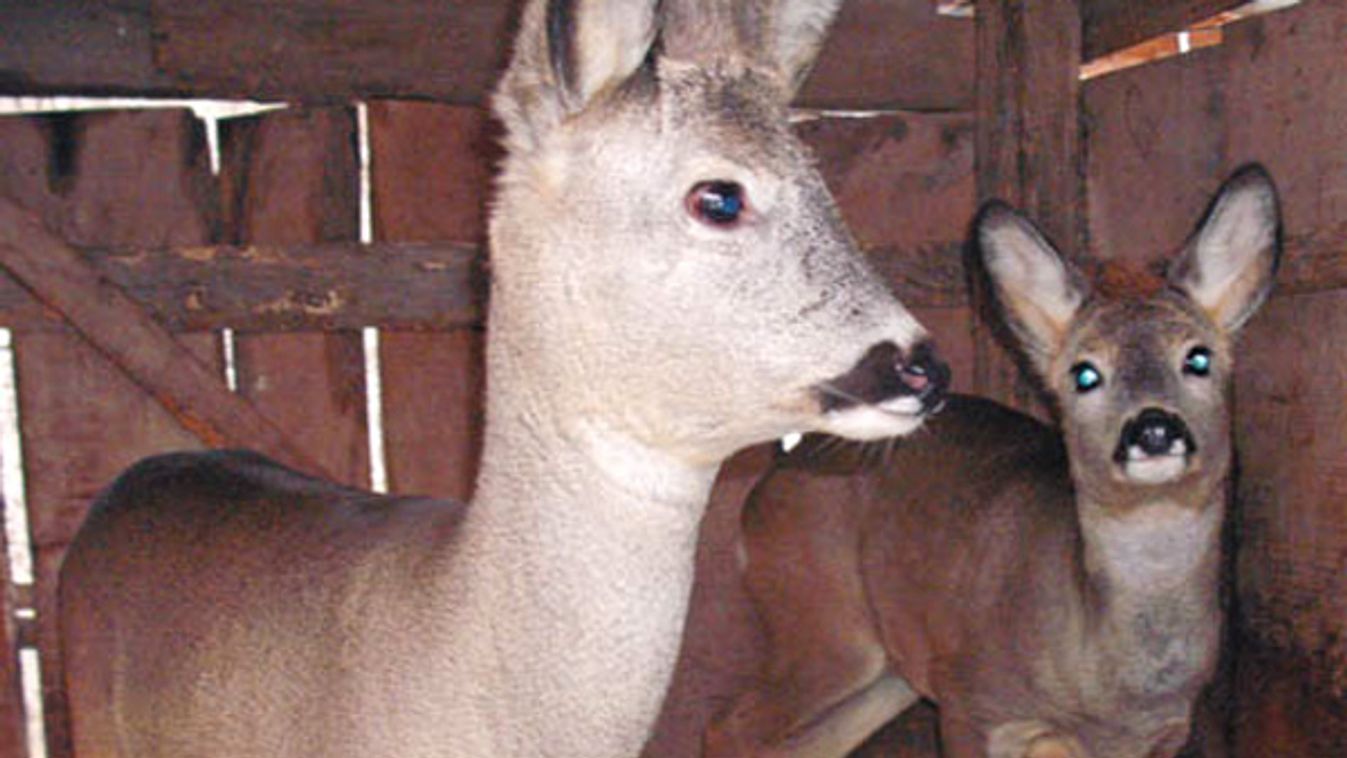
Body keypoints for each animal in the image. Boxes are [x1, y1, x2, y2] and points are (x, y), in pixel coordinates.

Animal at [705, 166, 1282, 758]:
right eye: (1084, 373)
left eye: (1199, 358)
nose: (1154, 427)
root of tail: (776, 470)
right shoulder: (971, 698)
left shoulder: (1165, 733)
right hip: (819, 615)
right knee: (730, 726)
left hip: (887, 665)